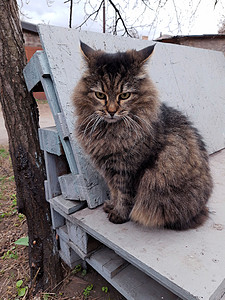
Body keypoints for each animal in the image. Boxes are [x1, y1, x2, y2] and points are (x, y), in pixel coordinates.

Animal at [72, 41, 213, 231]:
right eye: (100, 95)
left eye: (125, 95)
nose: (111, 111)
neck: (110, 131)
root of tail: (201, 209)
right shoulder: (110, 171)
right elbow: (114, 192)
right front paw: (111, 206)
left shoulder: (128, 170)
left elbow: (124, 196)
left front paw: (119, 215)